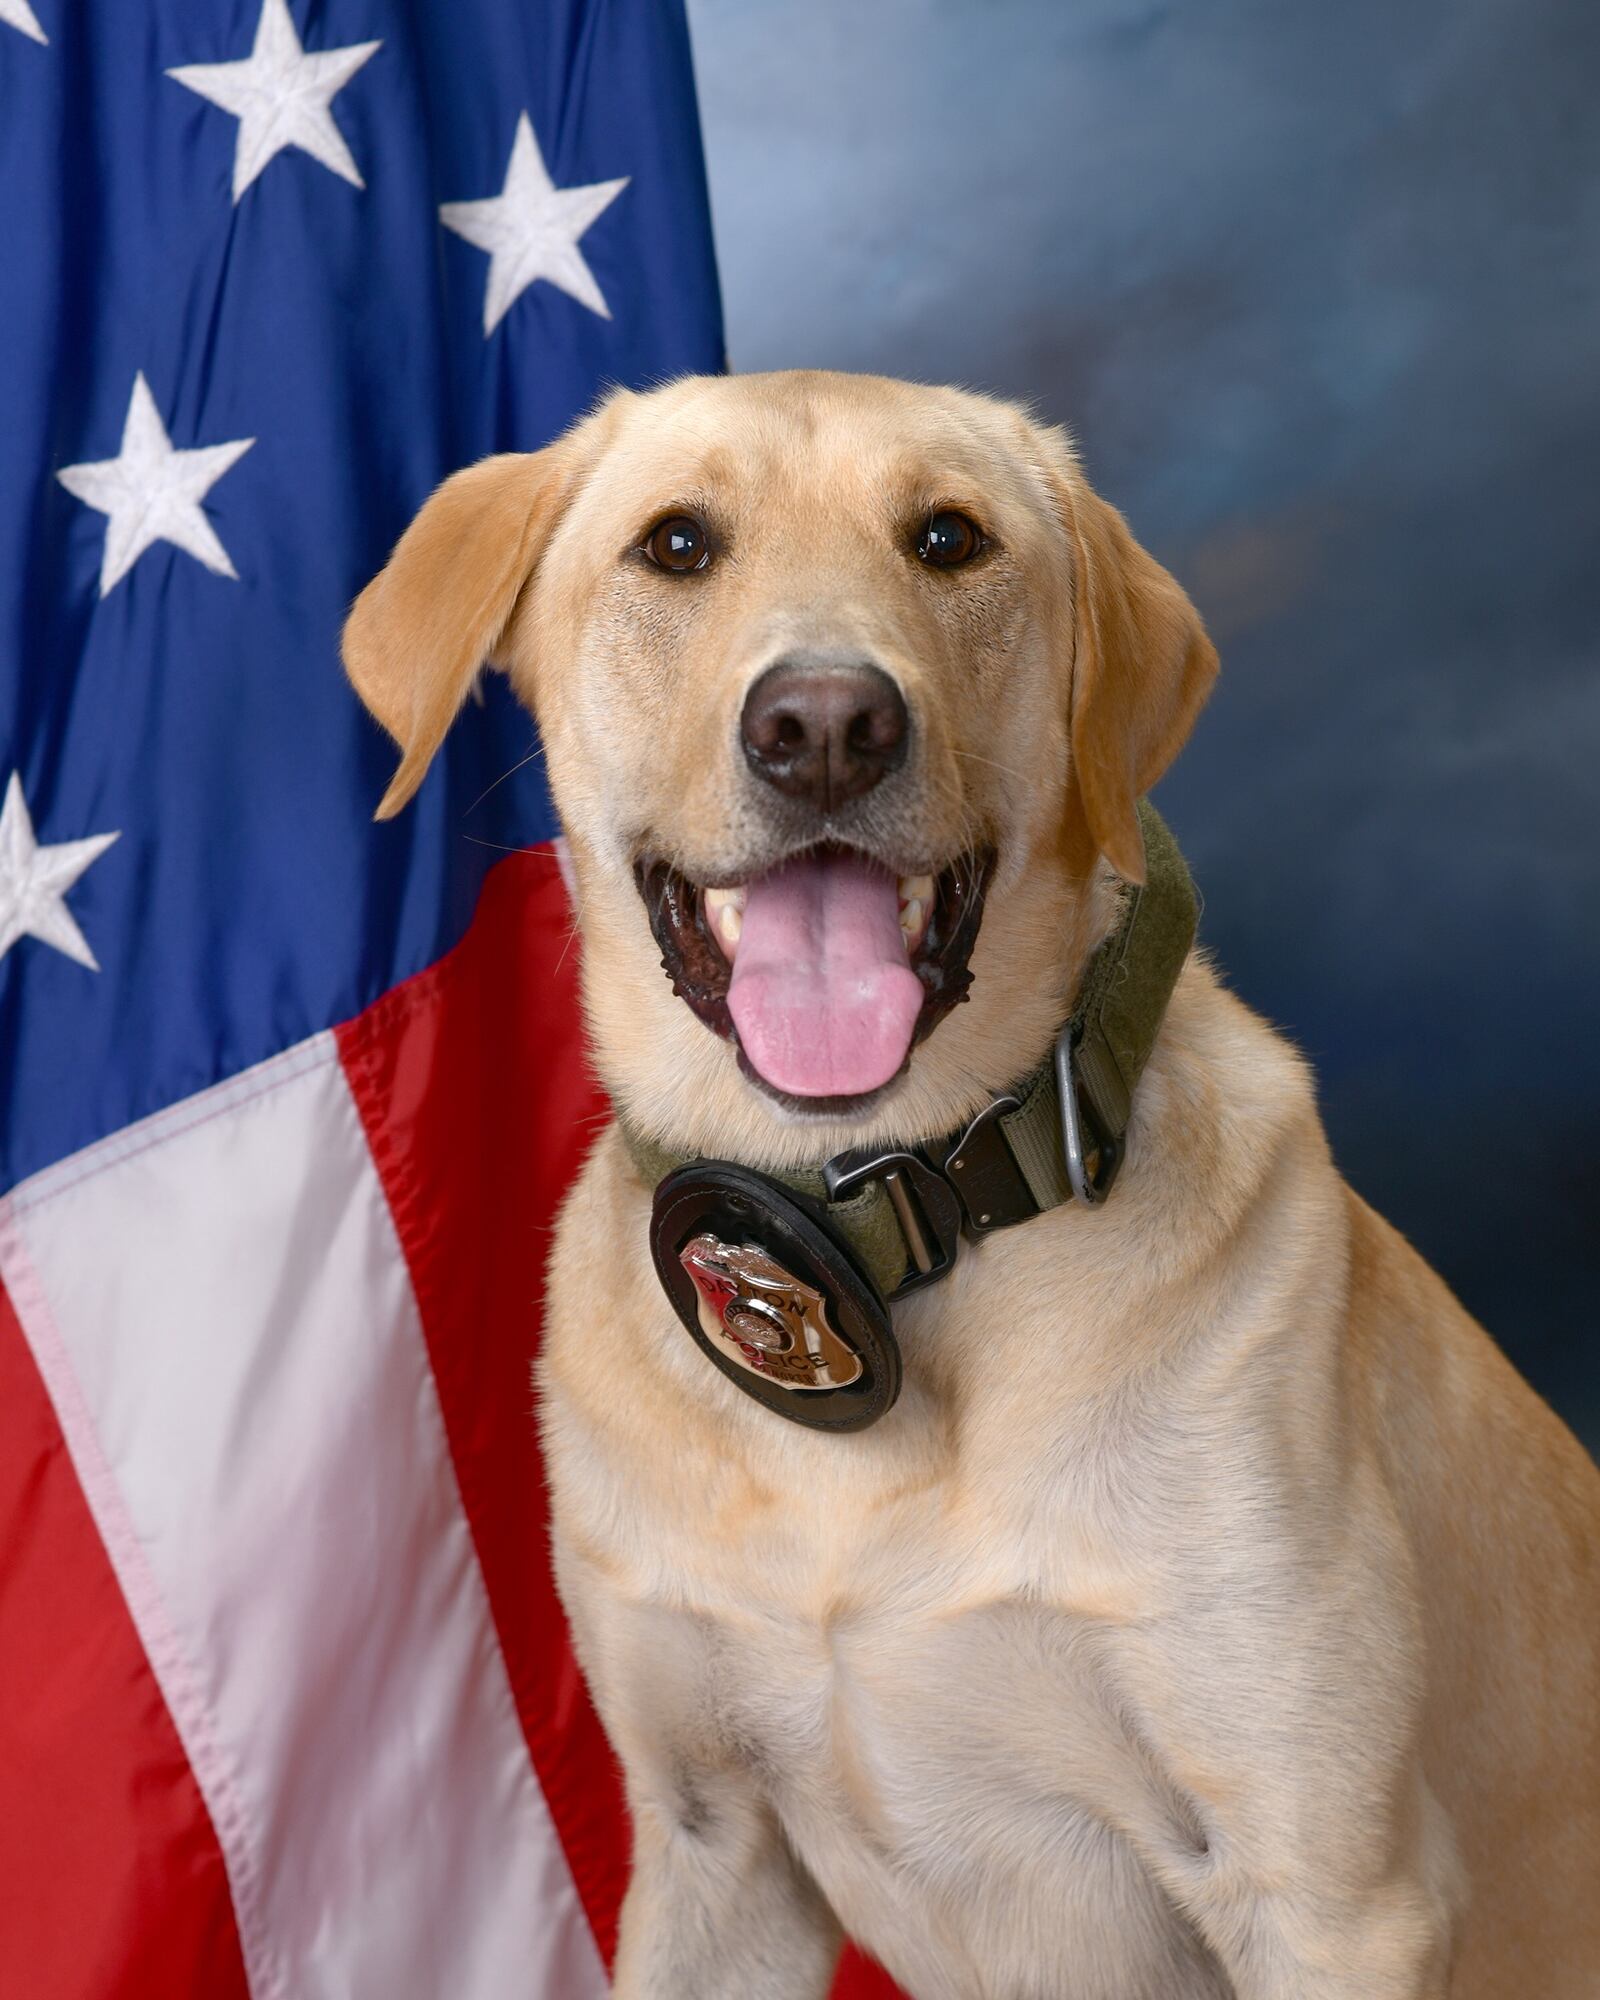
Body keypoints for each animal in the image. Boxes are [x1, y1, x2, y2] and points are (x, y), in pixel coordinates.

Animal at [344, 368, 1592, 1992]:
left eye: (949, 539)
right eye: (677, 544)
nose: (824, 726)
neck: (869, 1217)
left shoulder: (1328, 1885)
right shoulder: (708, 1848)